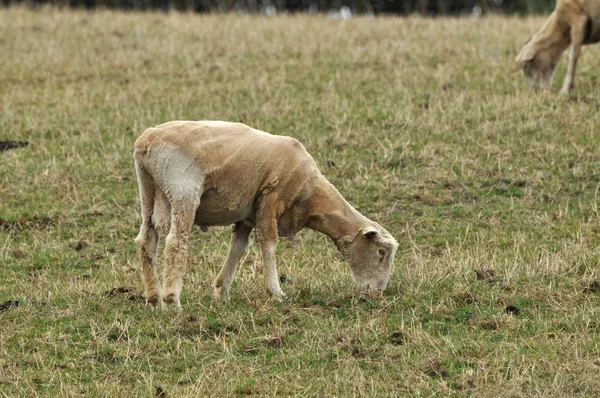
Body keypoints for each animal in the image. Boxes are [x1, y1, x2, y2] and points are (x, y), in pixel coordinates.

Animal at [134, 119, 400, 306]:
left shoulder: (247, 213)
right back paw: (172, 300)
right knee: (176, 242)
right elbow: (269, 244)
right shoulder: (271, 198)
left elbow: (237, 248)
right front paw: (276, 292)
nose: (377, 294)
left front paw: (222, 291)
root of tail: (146, 142)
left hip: (148, 190)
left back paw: (154, 298)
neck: (311, 197)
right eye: (381, 252)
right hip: (184, 188)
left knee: (147, 240)